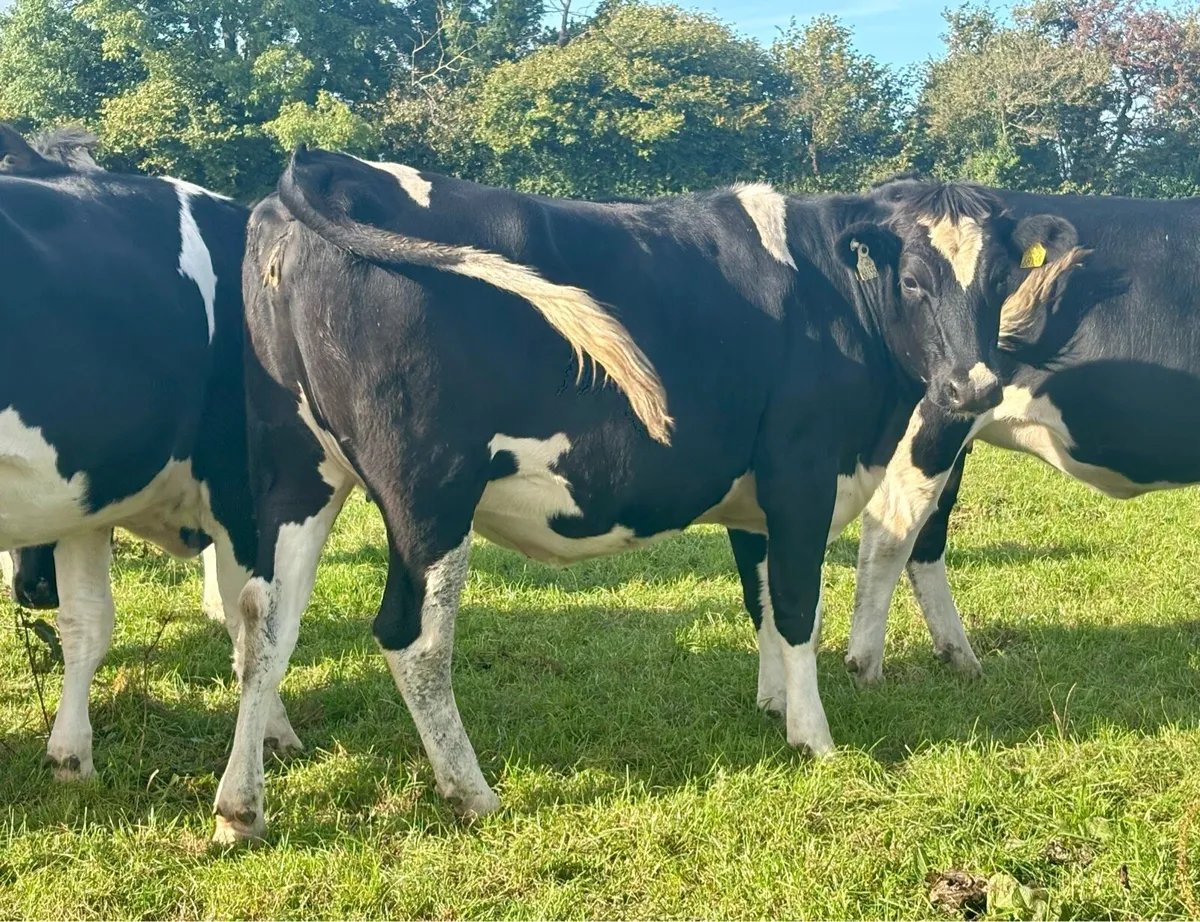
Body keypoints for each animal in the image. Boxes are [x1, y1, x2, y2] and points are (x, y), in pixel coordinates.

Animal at [0, 122, 300, 782]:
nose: (32, 590)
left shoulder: (87, 496)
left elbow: (87, 621)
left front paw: (70, 754)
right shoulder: (239, 489)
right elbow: (251, 626)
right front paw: (274, 732)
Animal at [209, 146, 1072, 844]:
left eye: (1001, 282)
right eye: (915, 280)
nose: (973, 388)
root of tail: (327, 168)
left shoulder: (753, 495)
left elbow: (760, 597)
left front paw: (772, 704)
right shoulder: (800, 471)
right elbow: (797, 604)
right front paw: (814, 737)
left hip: (298, 475)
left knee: (264, 626)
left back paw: (240, 810)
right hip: (428, 491)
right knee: (411, 637)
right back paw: (471, 791)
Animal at [839, 177, 1200, 685]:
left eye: (998, 281)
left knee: (925, 537)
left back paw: (960, 657)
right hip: (936, 420)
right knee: (892, 530)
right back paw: (867, 665)